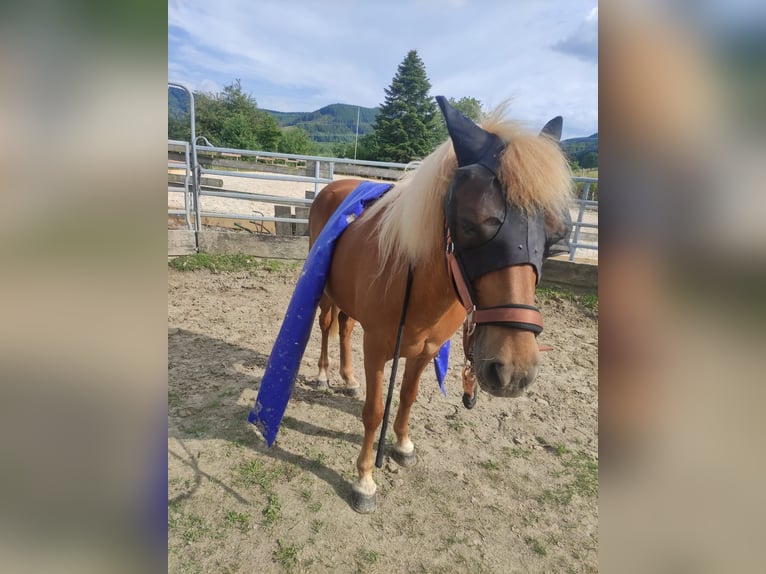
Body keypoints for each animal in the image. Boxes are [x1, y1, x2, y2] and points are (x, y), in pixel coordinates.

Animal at [307, 97, 573, 513]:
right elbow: (374, 411)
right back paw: (322, 374)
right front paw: (364, 480)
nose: (514, 371)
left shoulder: (425, 350)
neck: (419, 283)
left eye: (556, 236)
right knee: (326, 325)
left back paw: (348, 380)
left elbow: (408, 397)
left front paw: (402, 445)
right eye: (472, 224)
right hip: (325, 293)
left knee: (346, 326)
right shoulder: (377, 350)